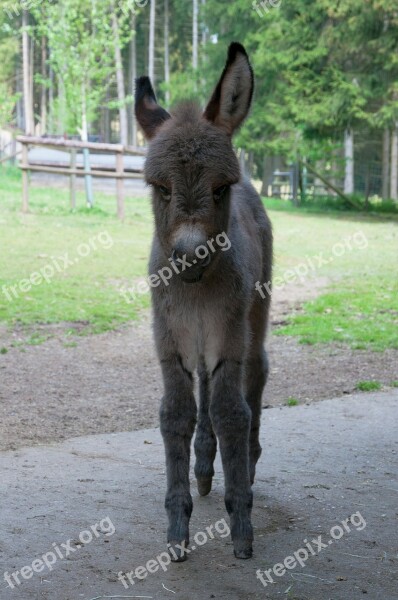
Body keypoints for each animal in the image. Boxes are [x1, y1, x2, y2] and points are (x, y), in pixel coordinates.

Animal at [135, 43, 272, 564]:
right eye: (160, 188)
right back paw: (204, 467)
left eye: (219, 189)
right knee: (203, 392)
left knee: (256, 375)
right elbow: (176, 413)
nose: (190, 254)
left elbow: (232, 411)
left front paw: (241, 527)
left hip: (254, 318)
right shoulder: (169, 339)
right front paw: (177, 530)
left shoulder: (228, 336)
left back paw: (245, 468)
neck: (195, 291)